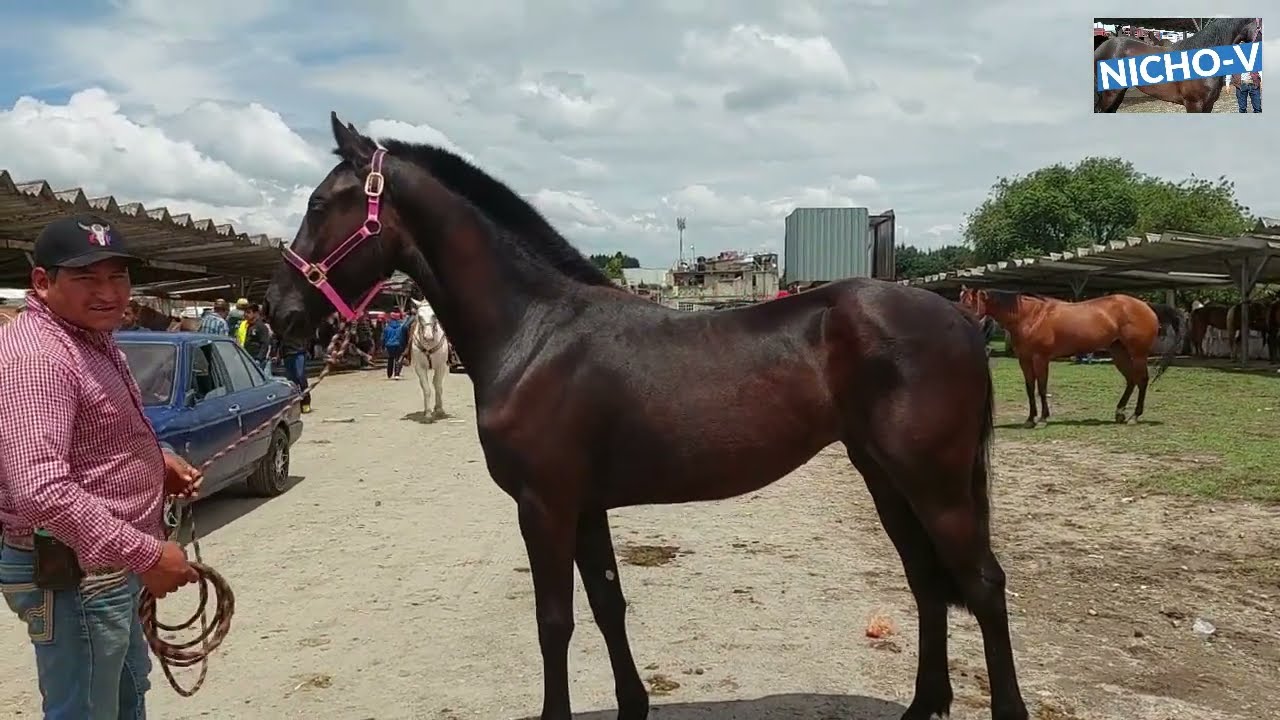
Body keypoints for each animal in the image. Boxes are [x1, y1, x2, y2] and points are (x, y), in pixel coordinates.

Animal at [263, 113, 1029, 720]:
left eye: (321, 202)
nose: (280, 311)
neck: (535, 331)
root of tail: (960, 317)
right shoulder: (584, 506)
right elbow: (607, 604)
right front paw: (633, 705)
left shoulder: (543, 505)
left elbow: (554, 621)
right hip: (886, 477)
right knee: (928, 583)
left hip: (933, 482)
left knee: (983, 586)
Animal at [960, 287, 1185, 427]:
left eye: (970, 305)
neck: (1030, 316)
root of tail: (1147, 306)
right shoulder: (1025, 360)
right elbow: (1030, 389)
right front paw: (1030, 419)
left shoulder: (1041, 358)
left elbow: (1042, 388)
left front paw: (1043, 419)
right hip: (1118, 352)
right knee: (1131, 380)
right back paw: (1120, 413)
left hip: (1137, 354)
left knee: (1142, 380)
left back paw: (1134, 416)